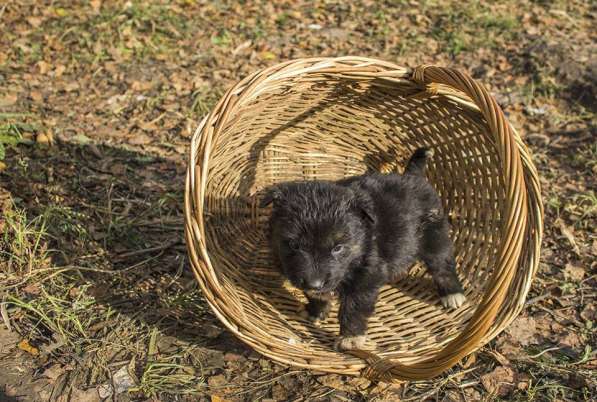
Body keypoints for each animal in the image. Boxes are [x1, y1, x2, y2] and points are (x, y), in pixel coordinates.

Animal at [260, 149, 466, 350]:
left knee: (442, 265)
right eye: (294, 245)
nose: (315, 283)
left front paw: (350, 338)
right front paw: (315, 310)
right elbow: (314, 295)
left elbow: (354, 307)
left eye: (338, 248)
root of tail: (412, 175)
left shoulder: (366, 276)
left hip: (434, 236)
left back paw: (453, 294)